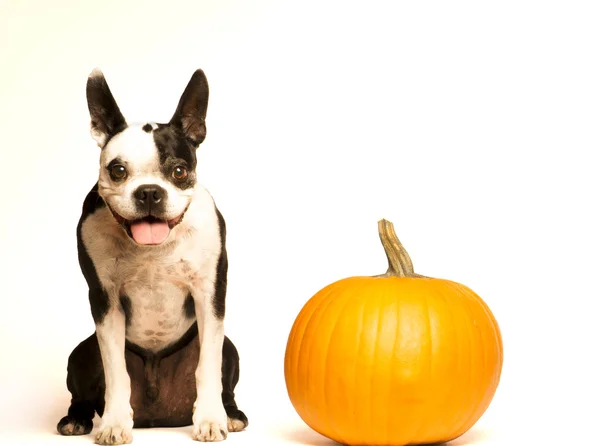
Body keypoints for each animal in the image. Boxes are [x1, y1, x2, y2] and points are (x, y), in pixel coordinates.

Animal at [54, 68, 246, 444]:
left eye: (179, 172)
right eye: (117, 171)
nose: (148, 193)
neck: (154, 249)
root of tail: (159, 417)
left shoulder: (209, 294)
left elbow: (208, 365)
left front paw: (210, 419)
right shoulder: (105, 300)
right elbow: (115, 370)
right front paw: (114, 423)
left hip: (231, 350)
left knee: (224, 377)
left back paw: (231, 414)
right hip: (81, 353)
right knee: (83, 390)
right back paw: (77, 419)